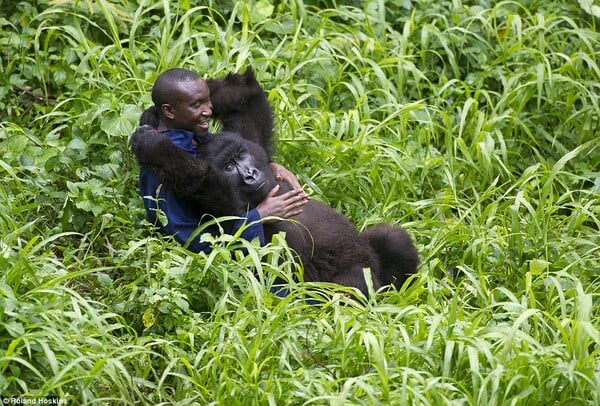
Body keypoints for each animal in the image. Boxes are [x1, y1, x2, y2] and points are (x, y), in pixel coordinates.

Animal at [131, 67, 418, 294]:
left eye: (241, 156)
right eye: (229, 167)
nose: (250, 174)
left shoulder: (251, 142)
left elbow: (243, 95)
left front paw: (152, 115)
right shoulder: (223, 205)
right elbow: (215, 220)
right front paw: (155, 146)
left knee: (392, 239)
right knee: (351, 282)